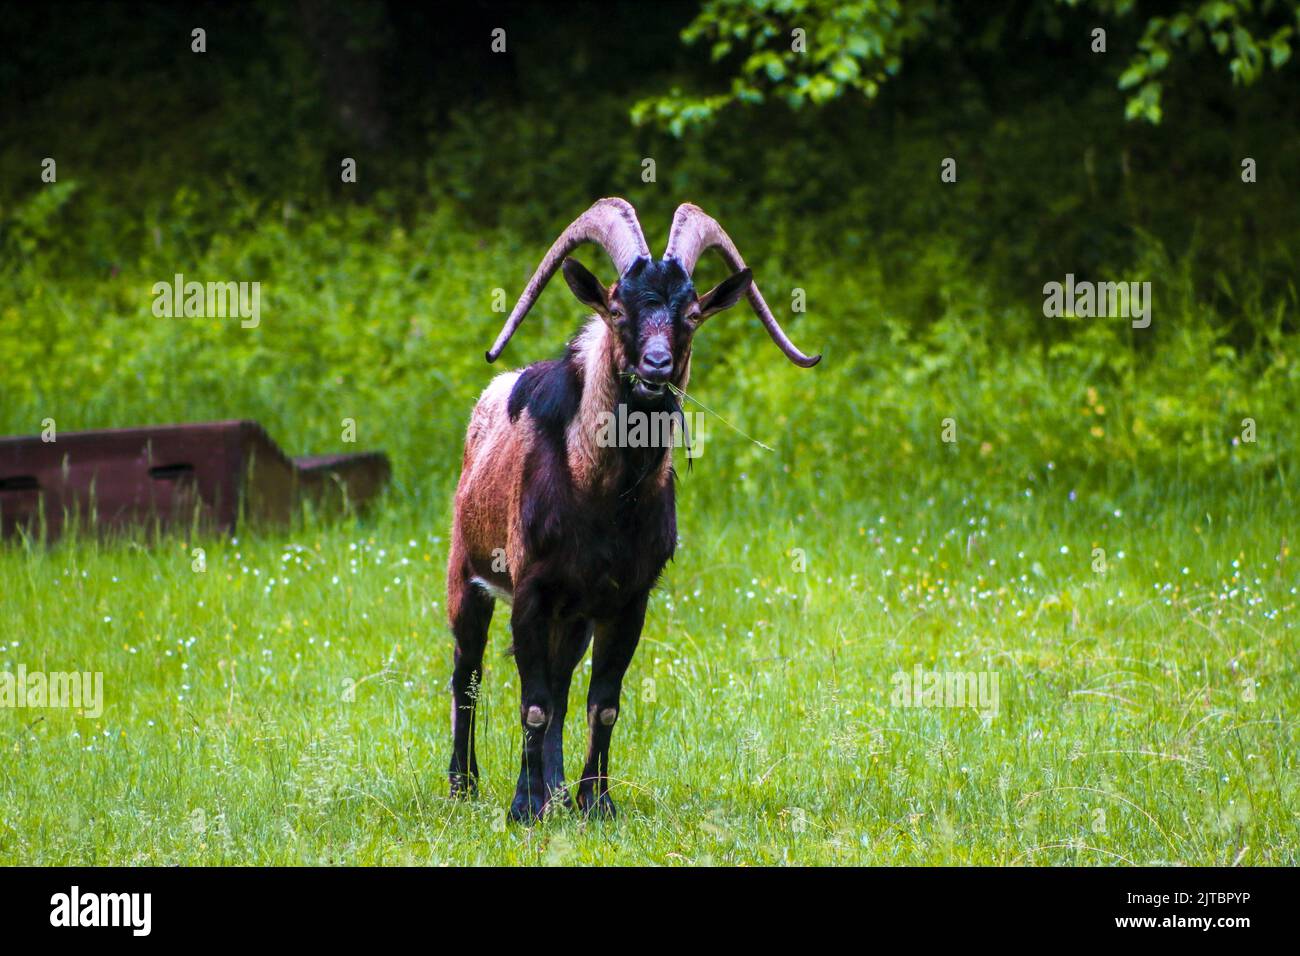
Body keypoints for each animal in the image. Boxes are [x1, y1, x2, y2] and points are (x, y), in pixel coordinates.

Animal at [446, 198, 819, 821]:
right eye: (618, 308)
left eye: (691, 312)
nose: (656, 365)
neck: (599, 499)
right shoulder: (530, 588)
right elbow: (533, 702)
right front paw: (525, 808)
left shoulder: (628, 598)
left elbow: (600, 703)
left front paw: (595, 803)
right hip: (467, 573)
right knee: (467, 675)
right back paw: (463, 786)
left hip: (574, 616)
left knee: (561, 683)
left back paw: (556, 789)